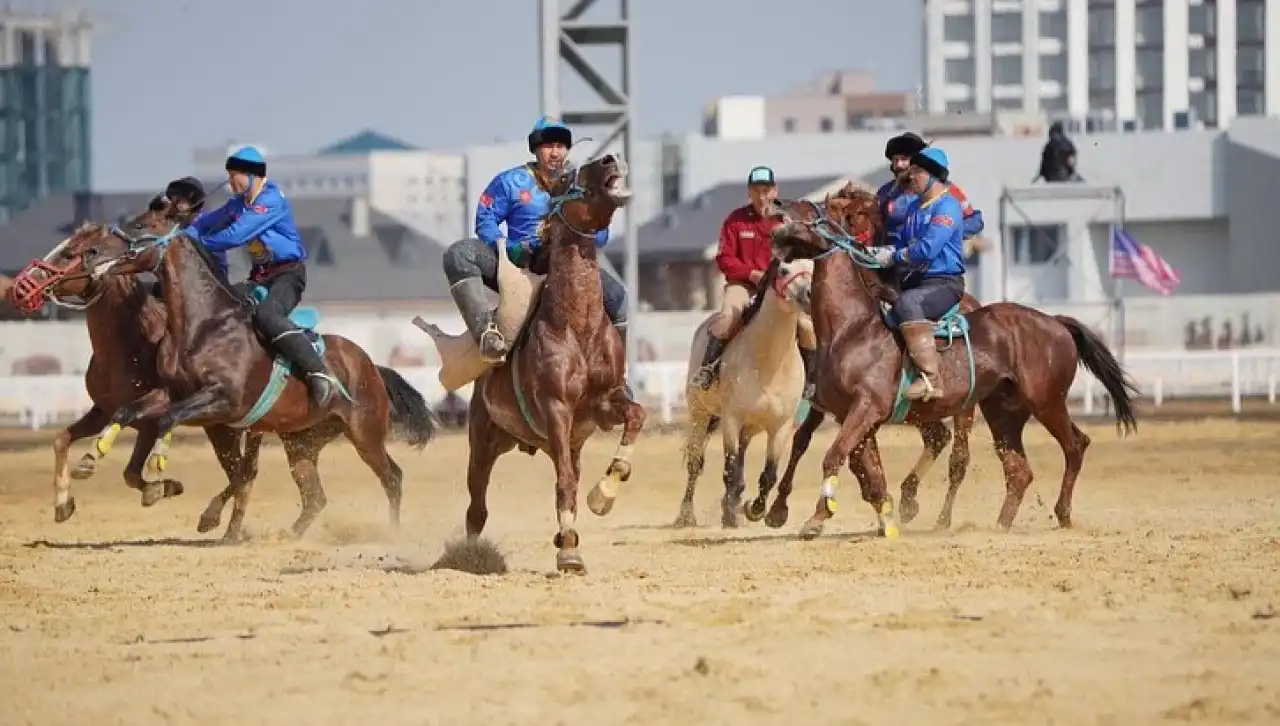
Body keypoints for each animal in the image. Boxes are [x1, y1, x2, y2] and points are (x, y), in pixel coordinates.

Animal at [3, 221, 262, 522]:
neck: (129, 344)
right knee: (242, 473)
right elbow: (62, 440)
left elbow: (131, 469)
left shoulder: (154, 412)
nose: (18, 288)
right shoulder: (102, 410)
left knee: (243, 473)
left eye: (68, 255)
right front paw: (63, 503)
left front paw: (161, 486)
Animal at [63, 202, 435, 542]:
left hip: (365, 433)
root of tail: (370, 366)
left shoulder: (224, 400)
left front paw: (157, 466)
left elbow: (171, 419)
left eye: (140, 226)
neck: (203, 327)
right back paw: (284, 533)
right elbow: (129, 411)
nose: (90, 253)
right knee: (313, 495)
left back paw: (393, 535)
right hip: (301, 442)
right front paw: (89, 458)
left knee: (392, 478)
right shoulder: (172, 394)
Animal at [424, 154, 640, 573]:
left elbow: (636, 418)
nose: (610, 158)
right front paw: (569, 553)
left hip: (568, 442)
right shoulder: (556, 409)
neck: (576, 326)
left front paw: (603, 495)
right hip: (483, 441)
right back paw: (472, 556)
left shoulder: (605, 403)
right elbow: (564, 483)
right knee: (477, 507)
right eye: (572, 176)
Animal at [675, 256, 814, 527]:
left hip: (749, 429)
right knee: (696, 463)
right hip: (701, 415)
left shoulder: (780, 427)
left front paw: (755, 509)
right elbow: (730, 470)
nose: (809, 295)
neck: (769, 363)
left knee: (740, 458)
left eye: (813, 270)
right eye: (784, 271)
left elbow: (769, 473)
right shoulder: (731, 419)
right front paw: (731, 514)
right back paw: (686, 516)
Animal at [762, 186, 1136, 540]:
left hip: (1046, 402)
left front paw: (817, 518)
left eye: (811, 208)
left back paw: (1061, 513)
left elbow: (835, 456)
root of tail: (1055, 322)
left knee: (1074, 446)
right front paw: (884, 519)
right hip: (1003, 413)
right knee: (1018, 470)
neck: (852, 328)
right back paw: (998, 525)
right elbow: (867, 471)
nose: (775, 204)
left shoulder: (866, 408)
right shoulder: (851, 414)